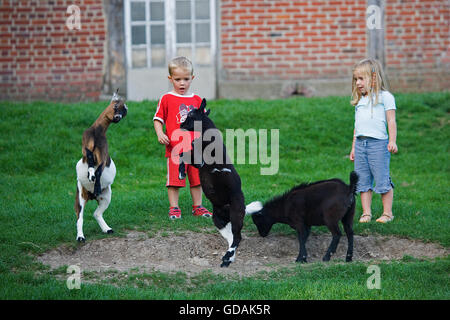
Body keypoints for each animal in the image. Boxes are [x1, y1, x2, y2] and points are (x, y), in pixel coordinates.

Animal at [73, 89, 126, 241]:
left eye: (124, 112)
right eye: (116, 105)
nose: (117, 117)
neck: (97, 132)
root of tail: (91, 196)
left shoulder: (102, 155)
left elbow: (99, 170)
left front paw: (94, 179)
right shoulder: (86, 148)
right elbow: (90, 159)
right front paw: (90, 174)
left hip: (106, 196)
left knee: (96, 213)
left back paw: (107, 229)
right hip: (80, 195)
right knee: (80, 216)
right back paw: (80, 237)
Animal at [178, 99, 244, 268]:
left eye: (191, 114)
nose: (181, 125)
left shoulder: (201, 160)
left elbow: (185, 155)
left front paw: (182, 173)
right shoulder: (196, 160)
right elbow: (182, 154)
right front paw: (181, 173)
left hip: (237, 213)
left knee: (237, 237)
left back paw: (227, 258)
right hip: (219, 220)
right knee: (232, 238)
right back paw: (227, 259)